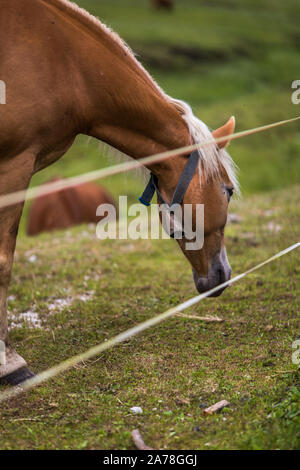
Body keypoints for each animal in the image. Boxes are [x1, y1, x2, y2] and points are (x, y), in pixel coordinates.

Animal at [0, 0, 239, 386]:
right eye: (228, 191)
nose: (220, 278)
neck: (62, 60)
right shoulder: (13, 167)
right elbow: (3, 263)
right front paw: (10, 363)